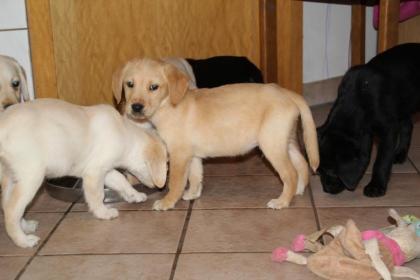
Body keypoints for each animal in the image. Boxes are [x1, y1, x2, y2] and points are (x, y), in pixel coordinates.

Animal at [0, 99, 167, 247]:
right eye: (167, 164)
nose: (161, 187)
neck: (124, 133)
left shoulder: (105, 169)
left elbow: (121, 180)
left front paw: (134, 195)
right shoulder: (94, 172)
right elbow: (98, 195)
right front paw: (103, 213)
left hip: (11, 177)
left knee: (7, 205)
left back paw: (26, 226)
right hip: (31, 177)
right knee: (11, 210)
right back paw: (23, 241)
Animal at [111, 59, 318, 212]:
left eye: (153, 87)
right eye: (130, 84)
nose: (136, 107)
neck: (169, 105)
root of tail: (287, 93)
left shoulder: (179, 154)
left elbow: (176, 181)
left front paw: (167, 202)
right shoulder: (192, 155)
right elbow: (195, 177)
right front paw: (192, 194)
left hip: (271, 145)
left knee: (290, 173)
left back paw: (282, 201)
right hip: (285, 141)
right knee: (302, 164)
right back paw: (298, 190)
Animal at [318, 43, 420, 197]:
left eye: (332, 172)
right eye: (319, 171)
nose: (327, 190)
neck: (357, 97)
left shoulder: (388, 130)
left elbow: (382, 160)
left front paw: (376, 186)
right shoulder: (365, 131)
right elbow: (365, 155)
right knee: (407, 126)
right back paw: (400, 154)